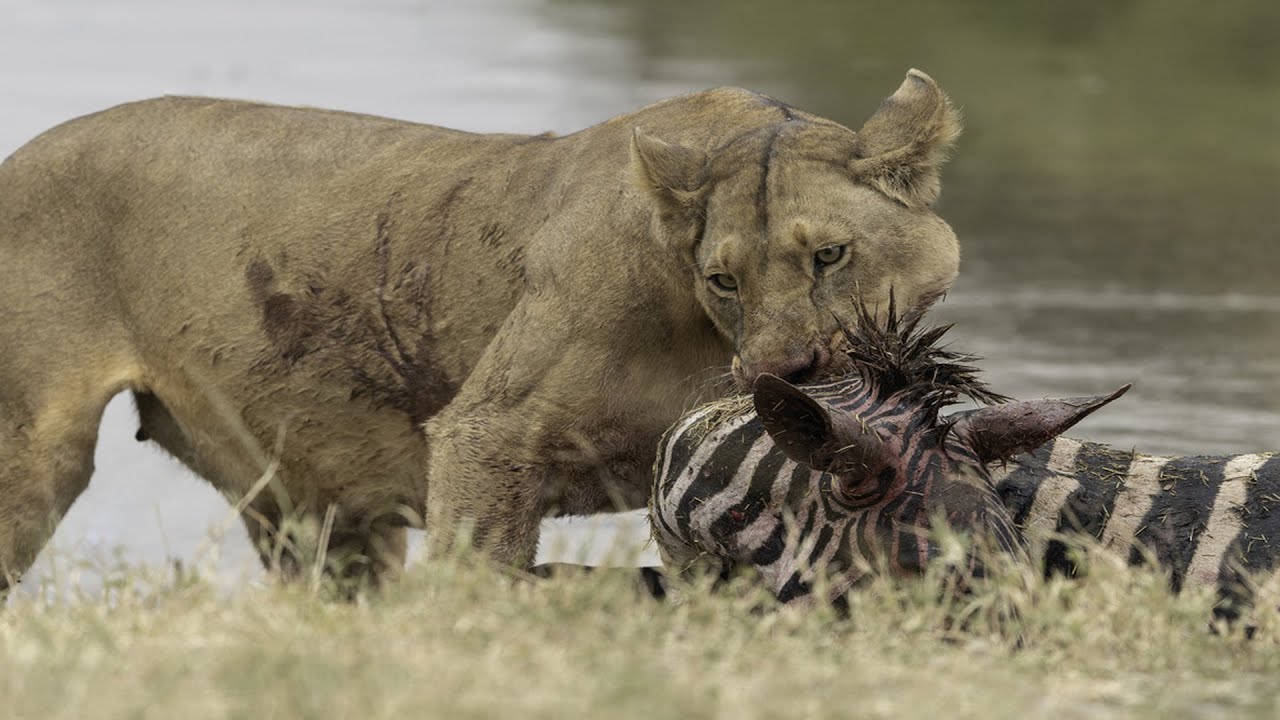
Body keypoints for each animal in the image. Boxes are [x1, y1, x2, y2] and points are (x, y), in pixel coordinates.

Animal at [0, 69, 962, 588]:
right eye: (723, 278)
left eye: (831, 255)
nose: (785, 371)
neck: (701, 336)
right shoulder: (486, 433)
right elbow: (481, 578)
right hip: (33, 458)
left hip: (323, 519)